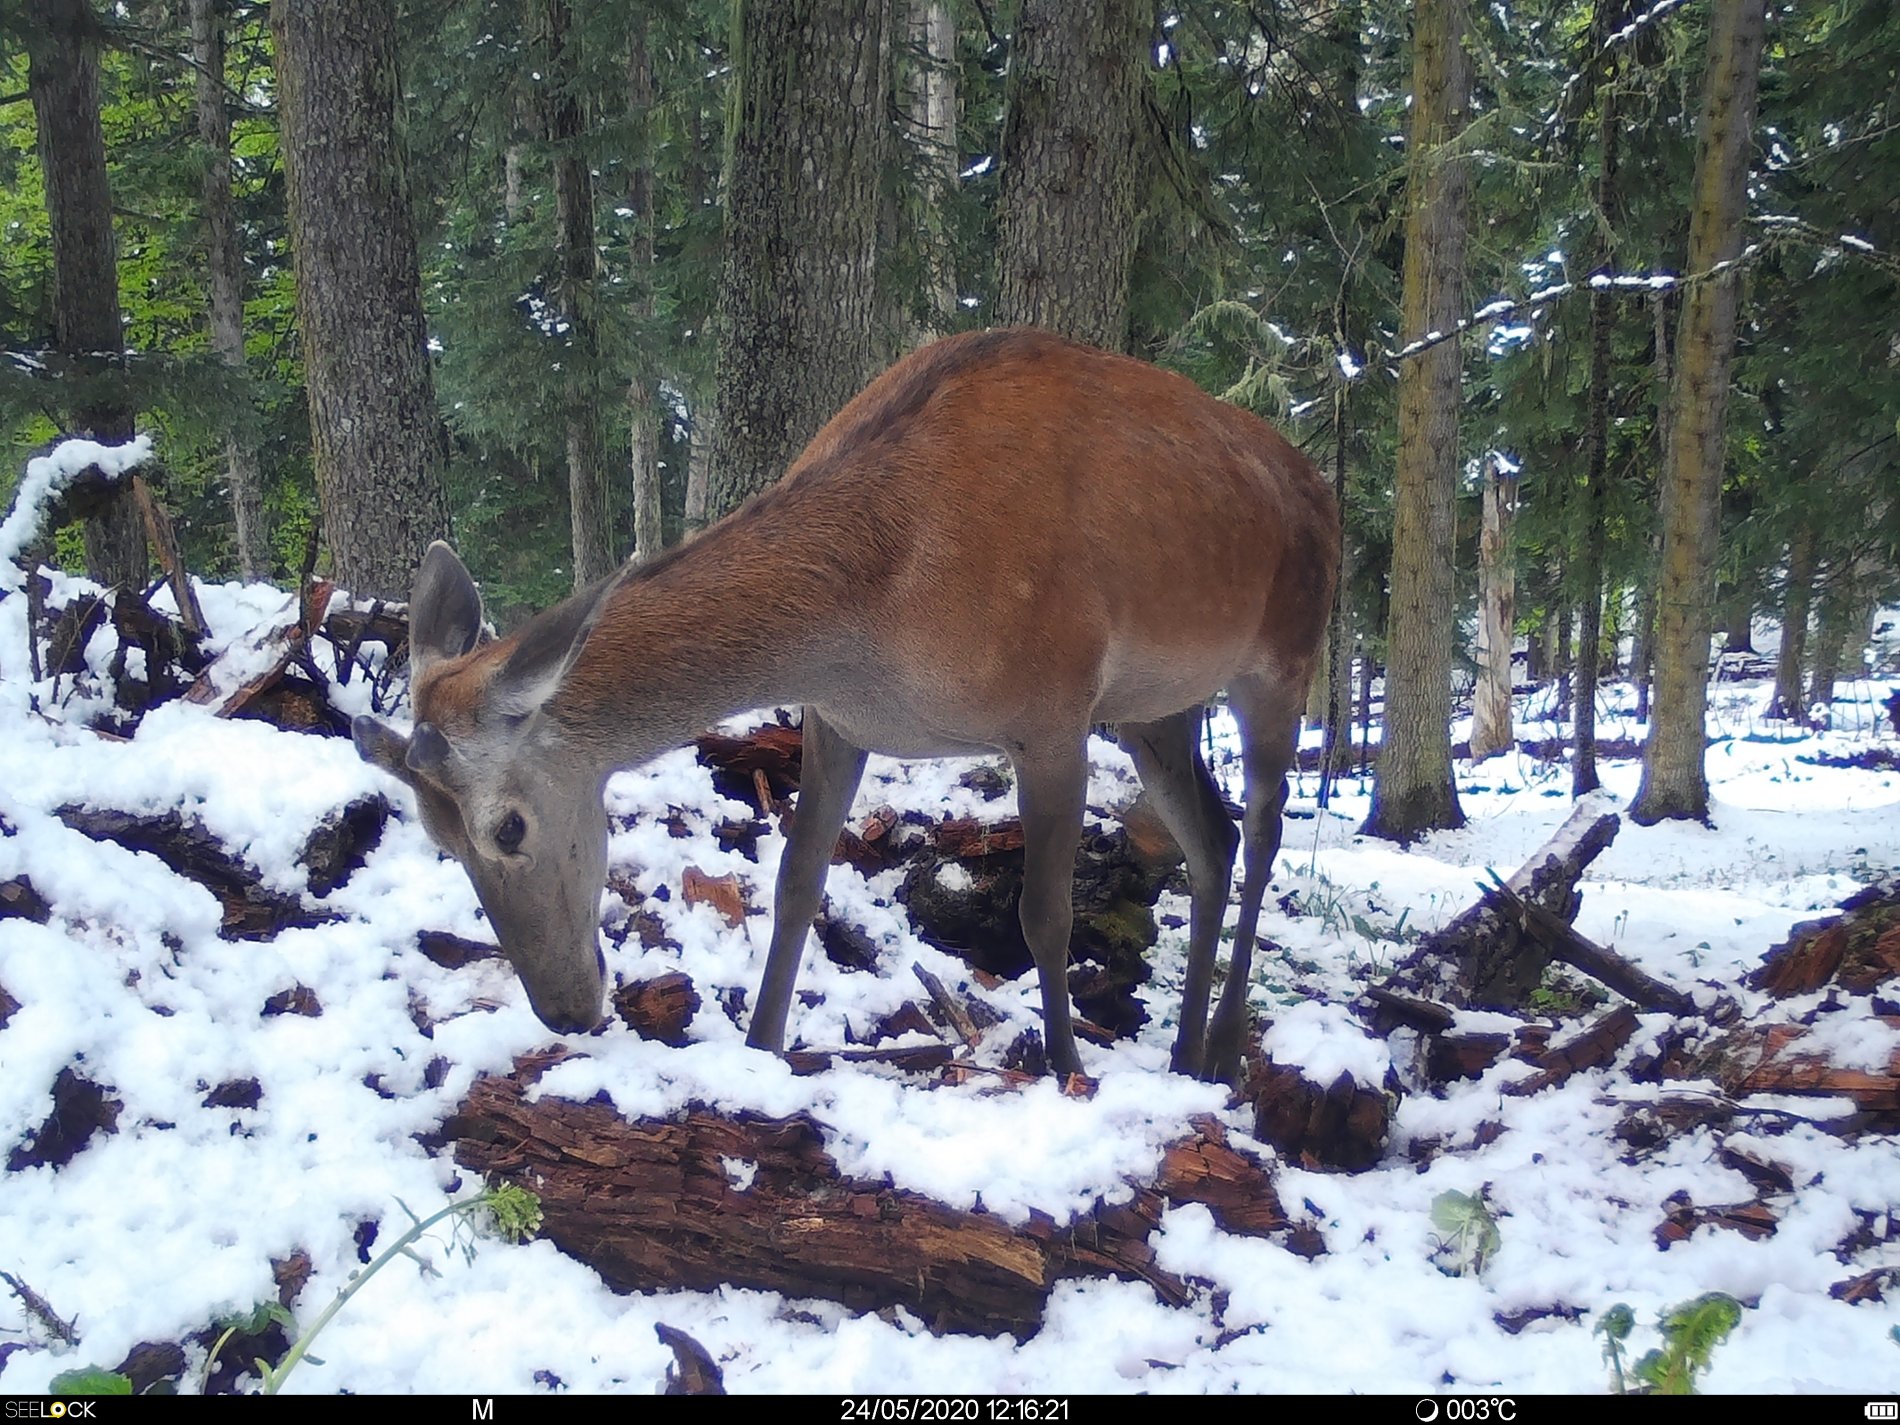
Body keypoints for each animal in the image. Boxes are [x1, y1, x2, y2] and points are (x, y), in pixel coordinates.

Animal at [353, 326, 1337, 1079]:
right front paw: (761, 1049)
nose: (562, 1009)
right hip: (1151, 707)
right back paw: (1182, 1052)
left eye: (509, 826)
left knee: (1265, 825)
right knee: (1210, 836)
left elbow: (1044, 915)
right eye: (437, 839)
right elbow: (796, 882)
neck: (874, 615)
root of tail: (1320, 486)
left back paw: (1221, 1043)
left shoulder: (1053, 708)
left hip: (1284, 658)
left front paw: (1065, 1070)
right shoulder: (836, 718)